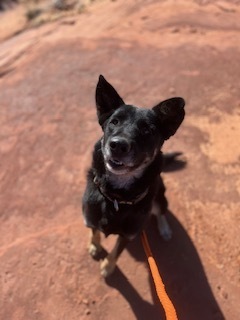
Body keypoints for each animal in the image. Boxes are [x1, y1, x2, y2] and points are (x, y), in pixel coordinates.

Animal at [81, 75, 185, 278]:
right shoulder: (90, 215)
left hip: (159, 196)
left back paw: (164, 229)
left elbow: (116, 252)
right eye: (114, 122)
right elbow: (94, 230)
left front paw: (108, 267)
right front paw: (94, 245)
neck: (115, 197)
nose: (117, 145)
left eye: (147, 130)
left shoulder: (128, 235)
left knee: (161, 211)